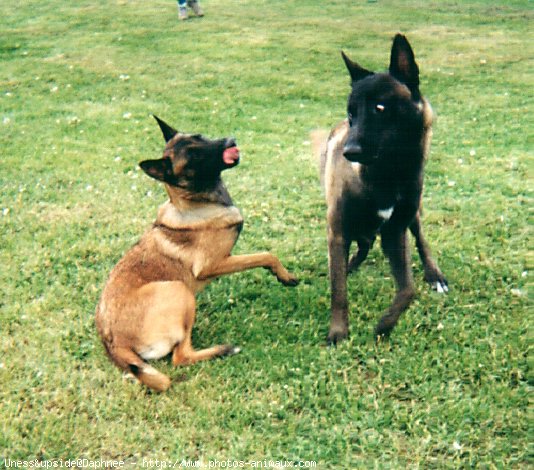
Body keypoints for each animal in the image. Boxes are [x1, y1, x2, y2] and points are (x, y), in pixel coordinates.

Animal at [96, 115, 298, 392]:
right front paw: (285, 276)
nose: (230, 141)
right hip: (179, 291)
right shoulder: (213, 265)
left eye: (200, 136)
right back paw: (223, 349)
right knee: (181, 357)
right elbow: (266, 255)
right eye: (194, 157)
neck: (194, 204)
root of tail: (114, 342)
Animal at [320, 32, 450, 342]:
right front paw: (338, 333)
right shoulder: (338, 230)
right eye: (351, 114)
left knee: (420, 239)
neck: (388, 175)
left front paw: (384, 326)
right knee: (360, 247)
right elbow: (338, 291)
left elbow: (408, 290)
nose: (350, 151)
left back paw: (434, 275)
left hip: (412, 216)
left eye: (380, 108)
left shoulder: (395, 232)